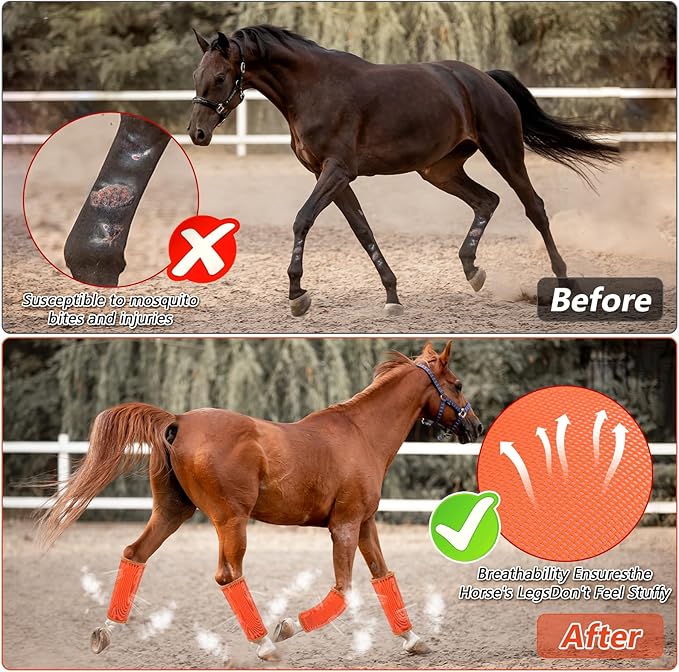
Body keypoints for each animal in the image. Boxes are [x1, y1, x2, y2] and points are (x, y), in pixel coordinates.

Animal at [38, 341, 482, 662]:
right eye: (458, 384)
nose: (476, 427)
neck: (360, 434)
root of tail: (177, 421)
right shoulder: (344, 526)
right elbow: (344, 590)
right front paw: (286, 627)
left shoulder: (365, 523)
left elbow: (383, 576)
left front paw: (413, 639)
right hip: (230, 520)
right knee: (228, 575)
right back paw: (265, 644)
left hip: (172, 512)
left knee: (135, 553)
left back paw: (106, 632)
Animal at [188, 25, 620, 317]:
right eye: (196, 76)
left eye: (221, 77)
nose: (197, 133)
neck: (313, 89)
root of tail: (485, 79)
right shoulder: (330, 176)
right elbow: (362, 230)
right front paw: (392, 295)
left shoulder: (336, 171)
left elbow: (302, 219)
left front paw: (297, 294)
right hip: (439, 170)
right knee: (487, 200)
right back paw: (472, 270)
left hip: (505, 153)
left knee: (534, 207)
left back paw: (563, 281)